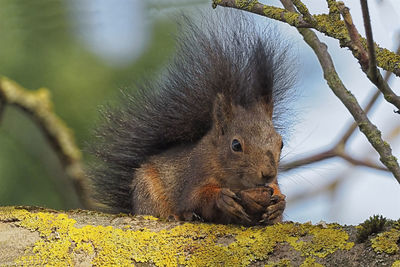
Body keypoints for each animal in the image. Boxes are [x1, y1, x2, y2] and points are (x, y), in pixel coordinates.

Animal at [90, 12, 296, 226]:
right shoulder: (196, 173)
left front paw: (278, 205)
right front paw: (222, 198)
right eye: (236, 145)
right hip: (146, 190)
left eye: (281, 143)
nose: (268, 173)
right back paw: (180, 215)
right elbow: (194, 198)